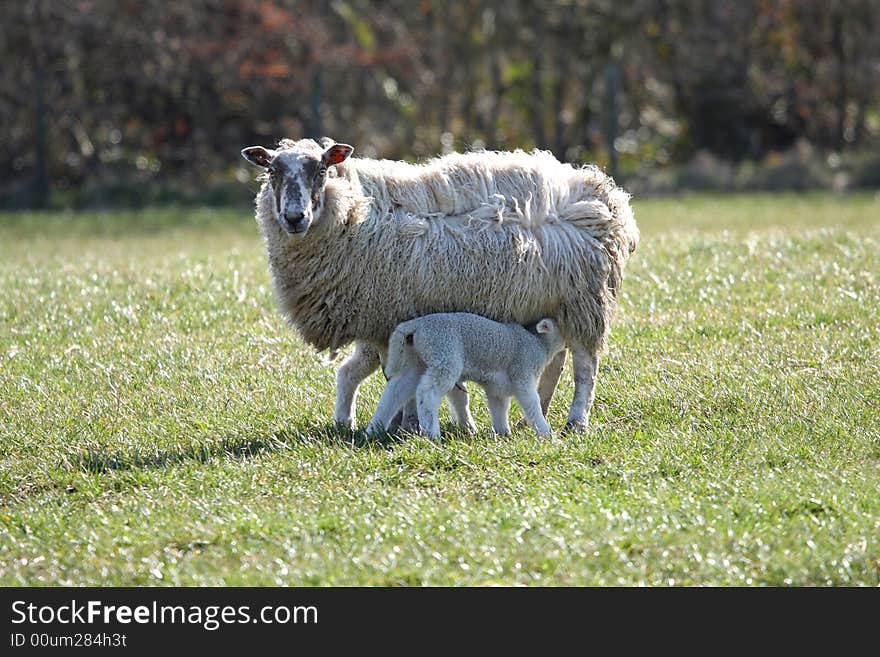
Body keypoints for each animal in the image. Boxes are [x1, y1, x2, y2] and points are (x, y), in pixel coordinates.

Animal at [364, 310, 564, 438]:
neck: (539, 344)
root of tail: (416, 325)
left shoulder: (497, 388)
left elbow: (499, 407)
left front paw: (503, 433)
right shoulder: (522, 372)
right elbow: (532, 403)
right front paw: (546, 433)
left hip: (416, 362)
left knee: (395, 392)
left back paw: (373, 430)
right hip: (445, 355)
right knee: (427, 392)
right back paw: (432, 433)